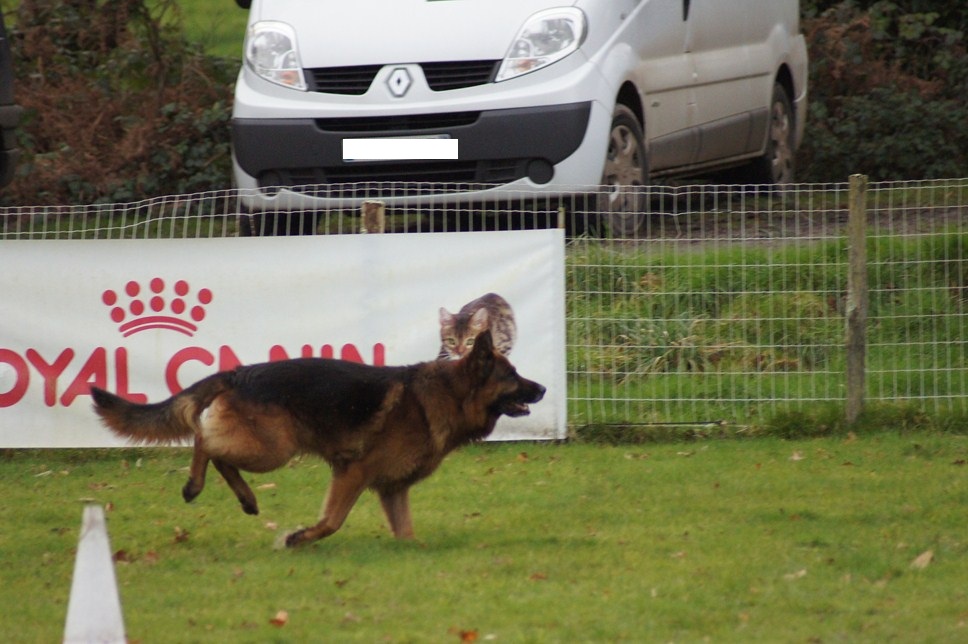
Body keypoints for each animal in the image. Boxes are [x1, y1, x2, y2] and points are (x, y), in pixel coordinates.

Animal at [91, 332, 544, 548]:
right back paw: (196, 485)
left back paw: (246, 500)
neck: (448, 394)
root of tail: (239, 372)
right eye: (512, 375)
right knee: (205, 440)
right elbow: (331, 522)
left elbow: (407, 534)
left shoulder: (392, 489)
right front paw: (297, 539)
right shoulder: (352, 472)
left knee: (217, 450)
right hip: (273, 449)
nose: (540, 388)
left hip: (266, 448)